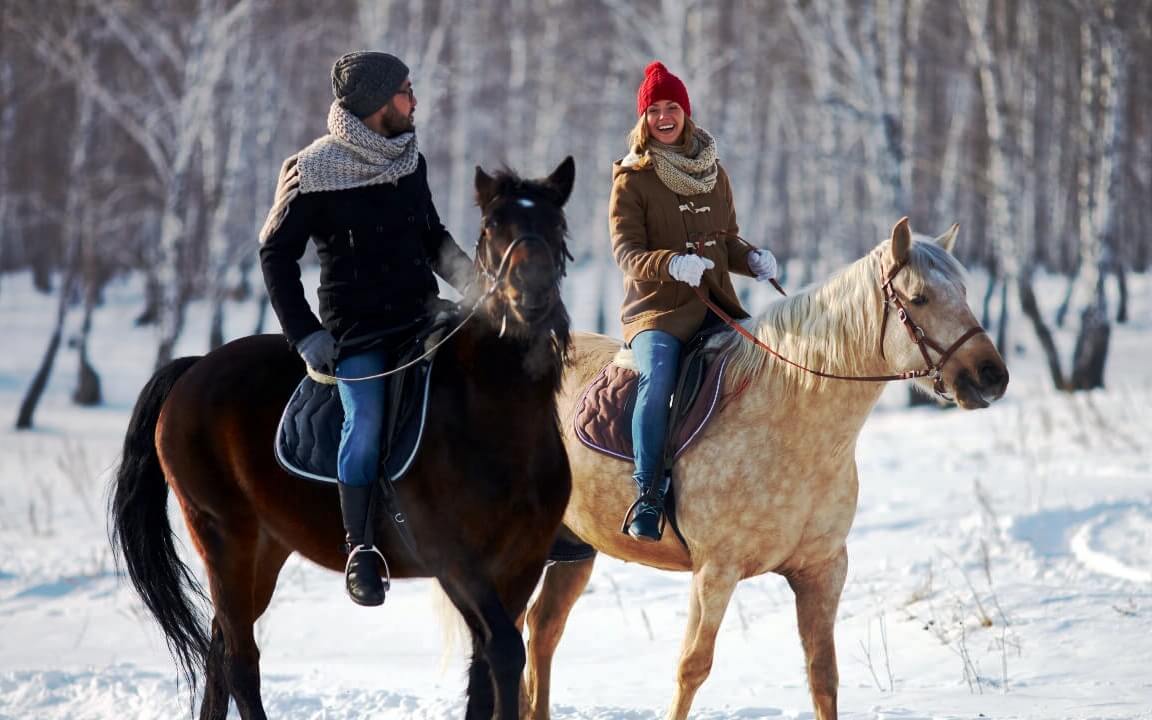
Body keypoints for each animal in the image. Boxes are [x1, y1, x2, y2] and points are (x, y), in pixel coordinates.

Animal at [111, 156, 576, 718]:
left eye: (557, 225)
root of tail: (194, 368)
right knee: (240, 659)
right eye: (492, 226)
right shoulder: (455, 561)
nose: (531, 294)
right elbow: (505, 652)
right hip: (223, 537)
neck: (496, 415)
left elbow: (484, 671)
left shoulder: (521, 564)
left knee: (219, 650)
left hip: (264, 550)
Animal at [523, 218, 1009, 718]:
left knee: (542, 630)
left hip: (575, 548)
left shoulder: (823, 570)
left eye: (963, 291)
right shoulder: (715, 571)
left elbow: (823, 675)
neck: (792, 424)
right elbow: (692, 667)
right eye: (919, 298)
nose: (992, 376)